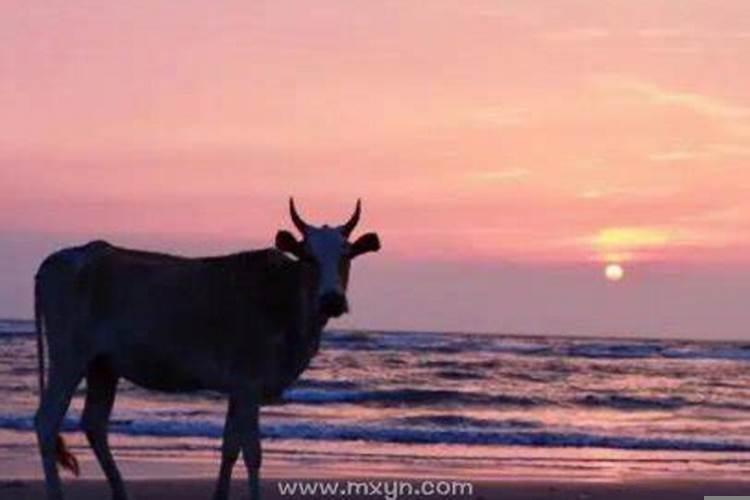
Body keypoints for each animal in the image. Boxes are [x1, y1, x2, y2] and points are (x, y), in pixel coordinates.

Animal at [33, 200, 382, 500]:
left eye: (347, 254)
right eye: (309, 256)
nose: (332, 299)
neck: (283, 297)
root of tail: (61, 258)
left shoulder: (239, 388)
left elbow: (230, 447)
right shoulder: (249, 384)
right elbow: (252, 452)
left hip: (103, 365)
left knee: (94, 424)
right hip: (69, 358)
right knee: (47, 422)